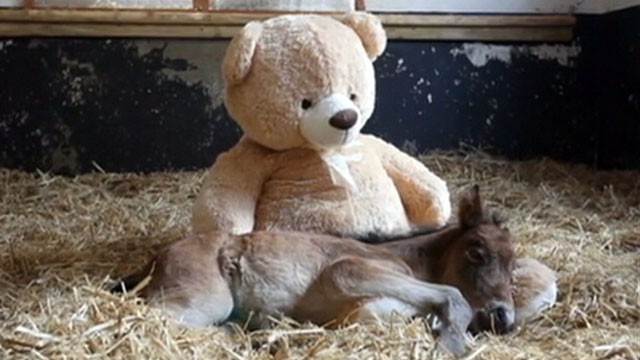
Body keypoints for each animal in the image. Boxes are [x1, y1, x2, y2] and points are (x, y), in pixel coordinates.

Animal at [112, 187, 516, 356]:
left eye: (514, 268)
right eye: (476, 251)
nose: (505, 318)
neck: (407, 260)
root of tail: (157, 258)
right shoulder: (348, 271)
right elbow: (452, 296)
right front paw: (451, 343)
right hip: (202, 301)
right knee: (152, 318)